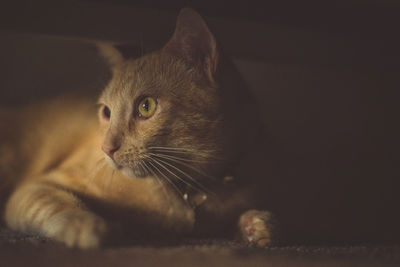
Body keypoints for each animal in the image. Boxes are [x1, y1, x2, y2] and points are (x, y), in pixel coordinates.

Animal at [0, 7, 276, 249]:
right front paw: (88, 226)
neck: (191, 193)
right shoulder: (40, 186)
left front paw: (257, 224)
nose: (106, 148)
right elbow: (60, 205)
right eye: (107, 111)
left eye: (146, 106)